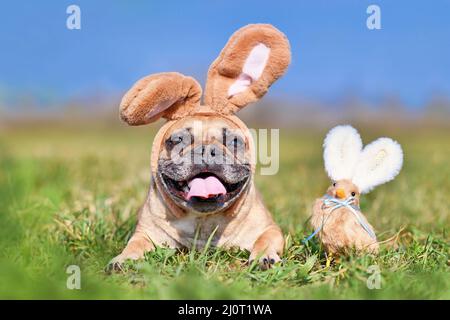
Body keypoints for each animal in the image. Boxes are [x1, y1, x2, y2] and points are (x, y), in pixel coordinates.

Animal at [109, 23, 292, 270]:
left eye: (234, 141)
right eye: (177, 140)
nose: (206, 150)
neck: (204, 221)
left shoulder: (269, 229)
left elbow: (265, 239)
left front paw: (264, 257)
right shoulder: (145, 233)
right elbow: (135, 243)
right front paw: (124, 258)